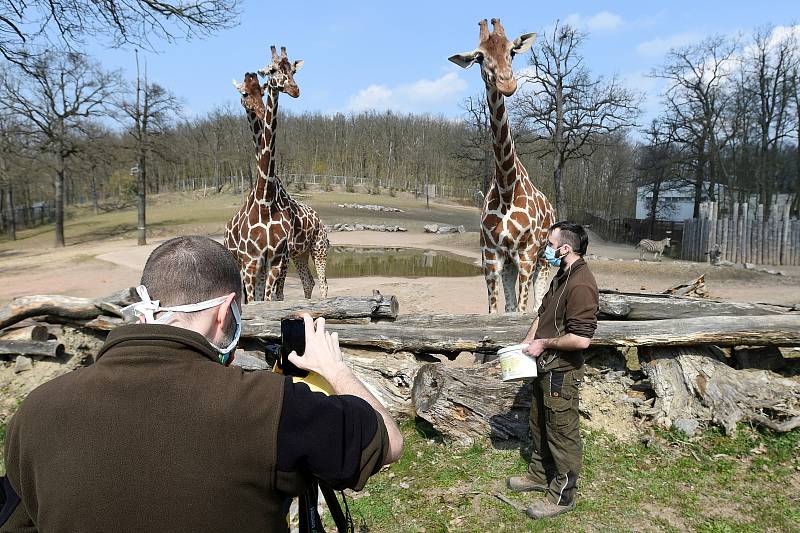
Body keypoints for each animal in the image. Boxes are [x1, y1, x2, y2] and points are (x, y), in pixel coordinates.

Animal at [223, 46, 330, 302]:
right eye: (271, 70)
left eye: (292, 70)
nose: (294, 89)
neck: (266, 199)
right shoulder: (252, 262)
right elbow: (259, 301)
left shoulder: (277, 259)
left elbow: (273, 298)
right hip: (289, 257)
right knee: (308, 282)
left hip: (317, 249)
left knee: (320, 283)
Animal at [450, 18, 556, 314]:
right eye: (479, 57)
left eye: (512, 52)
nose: (507, 83)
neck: (508, 189)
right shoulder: (491, 257)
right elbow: (497, 310)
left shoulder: (527, 255)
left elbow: (521, 310)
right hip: (511, 263)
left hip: (543, 260)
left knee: (537, 303)